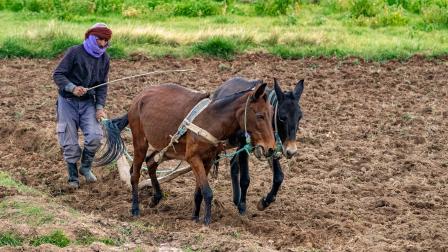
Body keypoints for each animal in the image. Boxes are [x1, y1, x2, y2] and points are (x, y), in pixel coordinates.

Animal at [96, 82, 274, 224]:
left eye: (271, 114)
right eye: (260, 115)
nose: (271, 148)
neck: (213, 118)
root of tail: (138, 98)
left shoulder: (207, 160)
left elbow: (199, 191)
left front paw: (195, 217)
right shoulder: (193, 158)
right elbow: (207, 191)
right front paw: (207, 220)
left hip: (169, 147)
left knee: (151, 161)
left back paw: (156, 197)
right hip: (140, 141)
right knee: (135, 174)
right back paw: (135, 208)